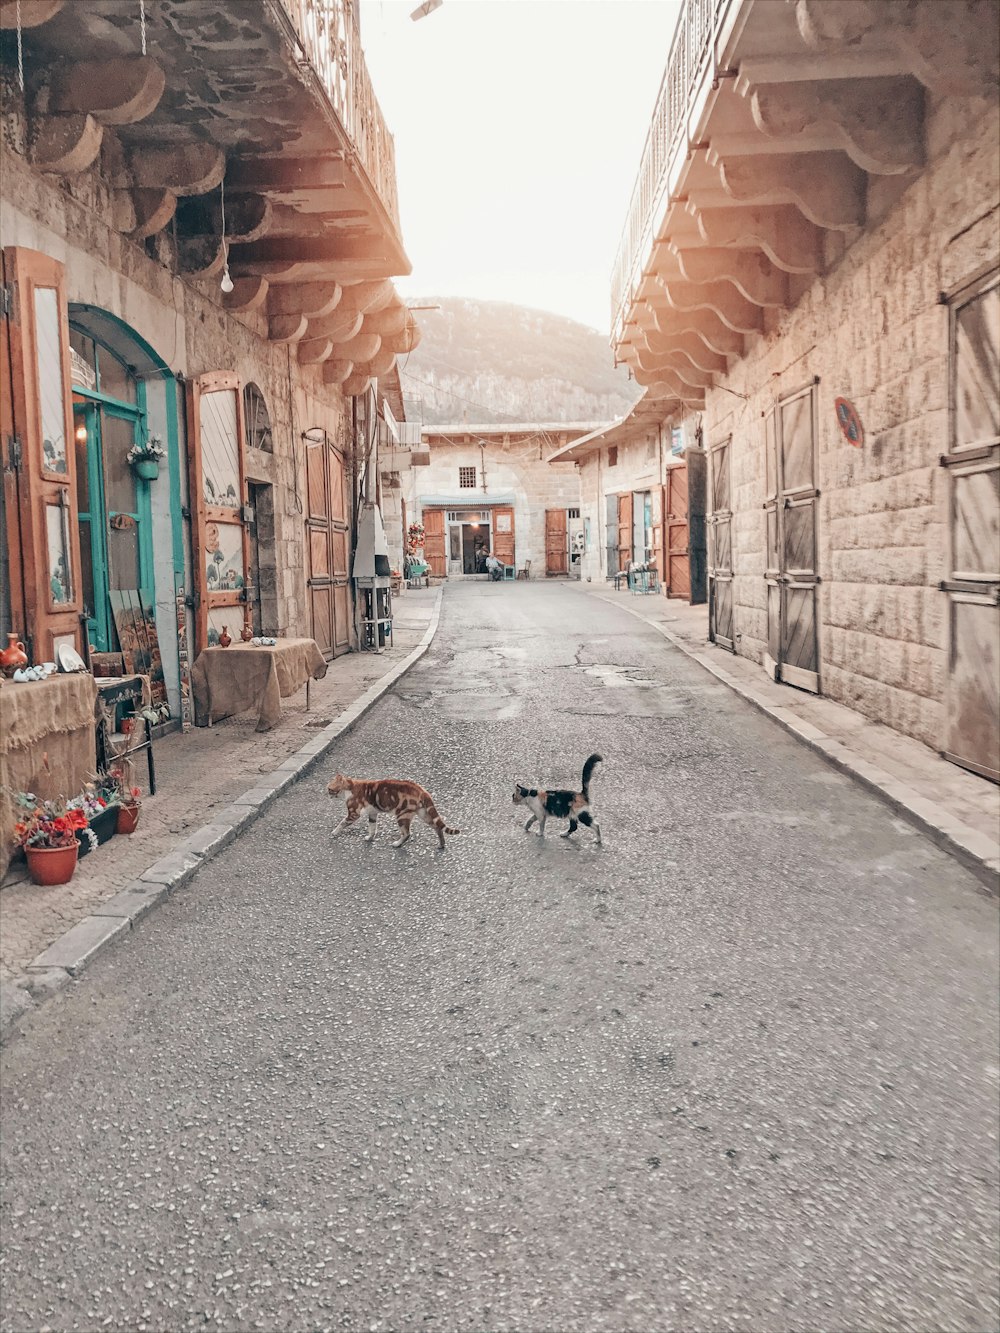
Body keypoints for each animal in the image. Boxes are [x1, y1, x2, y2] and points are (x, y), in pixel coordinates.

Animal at [325, 778, 461, 847]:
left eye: (329, 789)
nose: (326, 793)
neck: (351, 786)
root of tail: (423, 791)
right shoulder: (372, 813)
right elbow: (372, 827)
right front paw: (370, 837)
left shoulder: (353, 814)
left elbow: (341, 823)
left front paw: (334, 832)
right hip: (424, 814)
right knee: (437, 827)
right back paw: (442, 844)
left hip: (402, 815)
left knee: (407, 834)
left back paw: (397, 844)